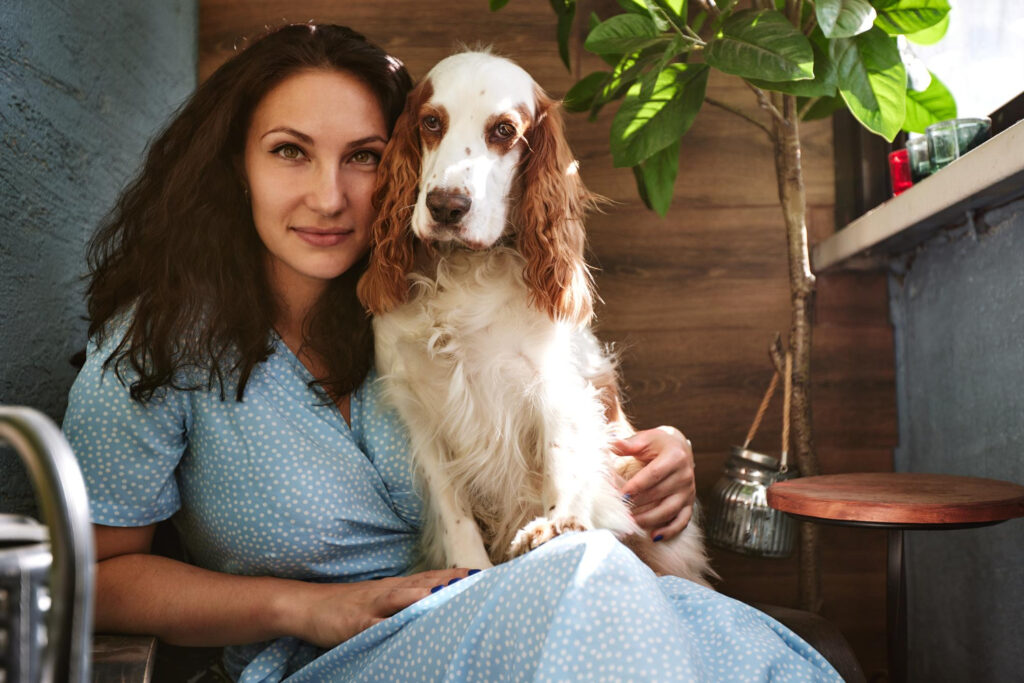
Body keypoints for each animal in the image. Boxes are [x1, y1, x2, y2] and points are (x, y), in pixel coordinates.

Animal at [360, 50, 712, 585]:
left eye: (504, 130)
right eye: (431, 122)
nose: (445, 207)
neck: (465, 271)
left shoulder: (551, 383)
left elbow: (561, 455)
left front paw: (559, 525)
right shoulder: (420, 408)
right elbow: (452, 506)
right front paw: (468, 569)